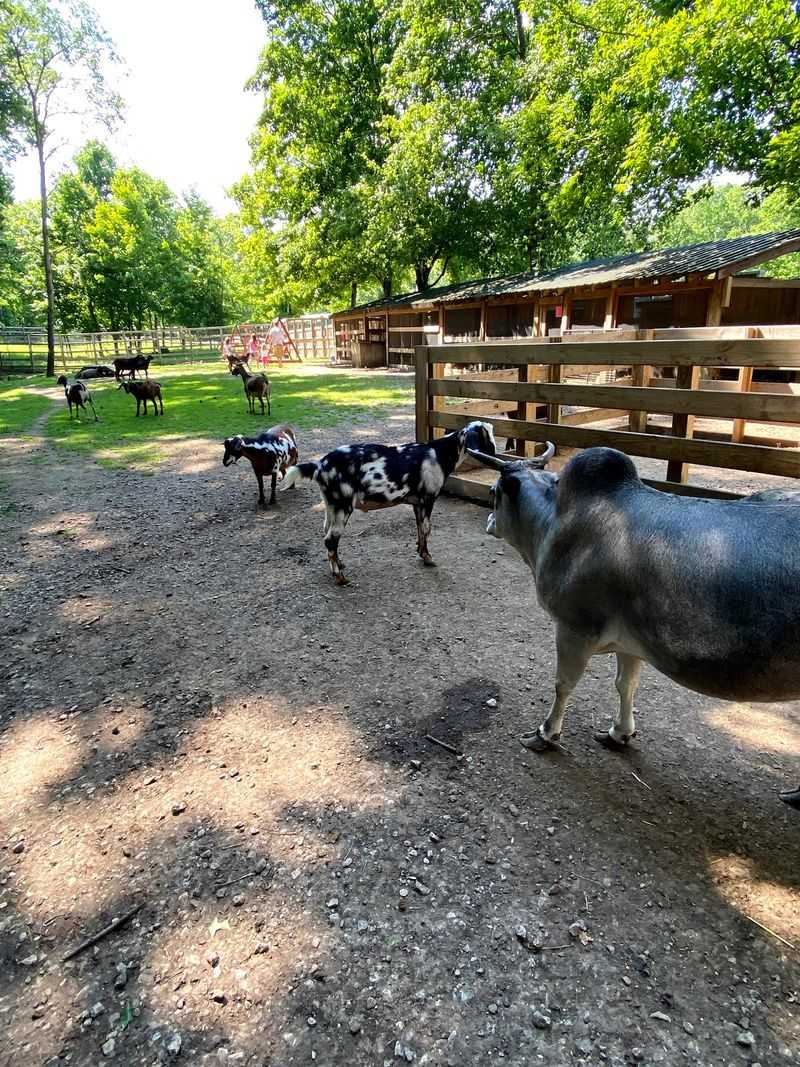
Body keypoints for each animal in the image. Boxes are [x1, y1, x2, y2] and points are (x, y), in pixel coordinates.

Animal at [280, 421, 496, 585]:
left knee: (327, 536)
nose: (495, 454)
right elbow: (427, 529)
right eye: (487, 436)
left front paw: (421, 553)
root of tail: (319, 465)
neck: (439, 453)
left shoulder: (417, 503)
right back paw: (340, 578)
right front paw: (428, 558)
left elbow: (419, 529)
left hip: (330, 506)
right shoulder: (428, 499)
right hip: (343, 506)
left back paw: (339, 565)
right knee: (330, 540)